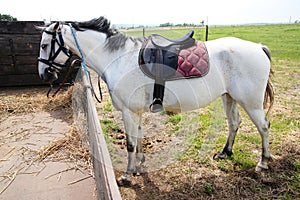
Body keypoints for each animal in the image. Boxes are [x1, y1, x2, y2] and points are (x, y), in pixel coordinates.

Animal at [37, 17, 274, 184]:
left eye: (45, 45)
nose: (44, 74)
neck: (119, 59)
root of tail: (258, 47)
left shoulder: (128, 111)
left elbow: (130, 143)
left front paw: (127, 175)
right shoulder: (136, 111)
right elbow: (140, 137)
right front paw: (139, 166)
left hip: (251, 103)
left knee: (263, 126)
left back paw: (263, 162)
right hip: (230, 98)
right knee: (234, 123)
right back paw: (225, 153)